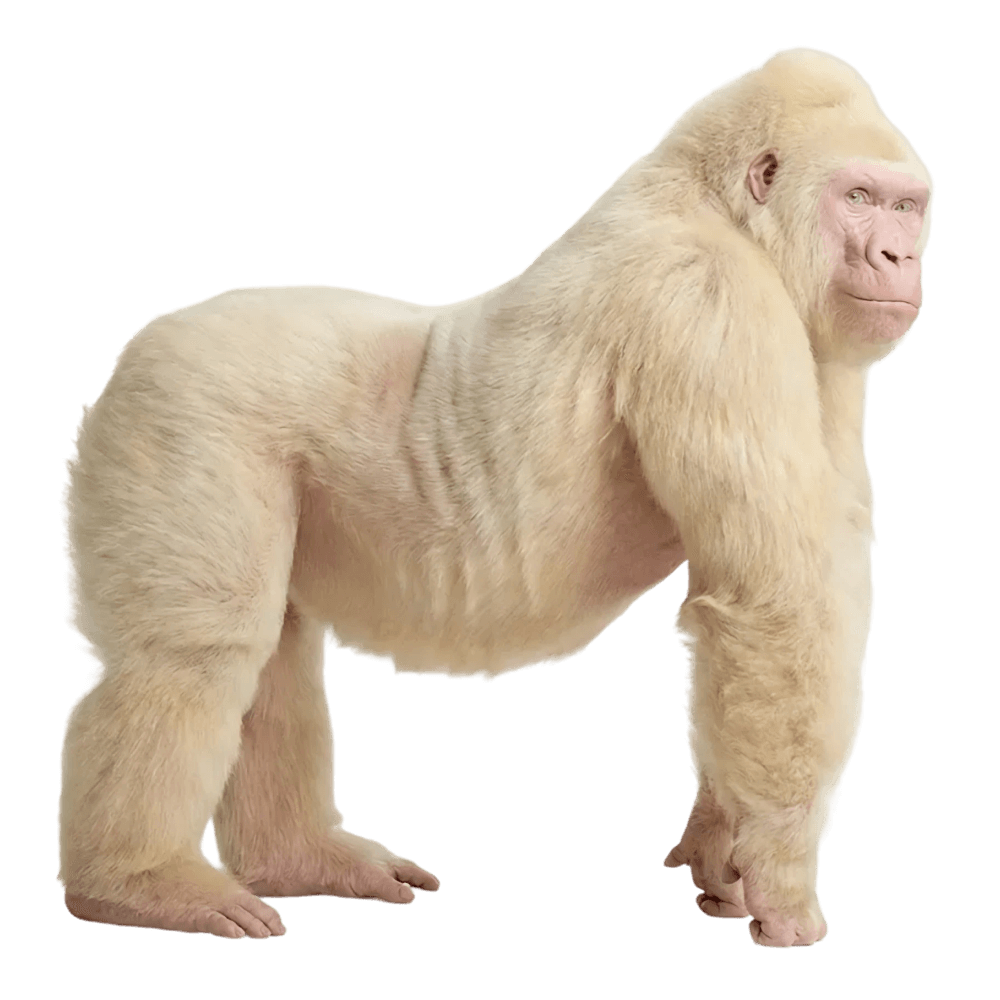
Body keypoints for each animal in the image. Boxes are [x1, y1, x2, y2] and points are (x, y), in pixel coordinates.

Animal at [57, 47, 932, 947]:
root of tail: (129, 355)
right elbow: (777, 603)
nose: (900, 261)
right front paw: (782, 878)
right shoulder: (712, 302)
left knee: (270, 651)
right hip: (176, 407)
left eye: (909, 208)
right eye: (859, 200)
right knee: (196, 651)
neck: (717, 200)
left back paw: (298, 861)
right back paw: (136, 883)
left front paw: (718, 848)